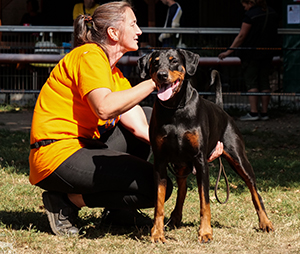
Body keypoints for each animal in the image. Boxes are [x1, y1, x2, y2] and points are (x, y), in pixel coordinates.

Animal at [138, 48, 274, 243]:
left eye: (173, 61)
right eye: (155, 62)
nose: (162, 75)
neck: (175, 108)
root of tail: (222, 110)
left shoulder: (200, 160)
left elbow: (205, 201)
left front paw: (205, 232)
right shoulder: (160, 161)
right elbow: (159, 201)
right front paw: (157, 233)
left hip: (239, 159)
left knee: (255, 191)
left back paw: (265, 222)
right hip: (180, 165)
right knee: (182, 189)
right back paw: (175, 218)